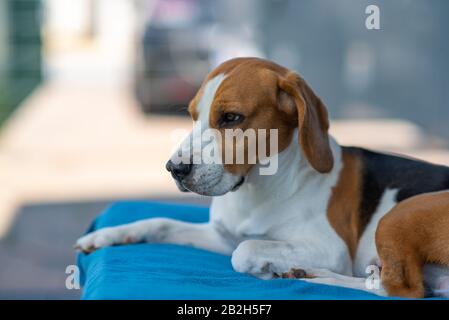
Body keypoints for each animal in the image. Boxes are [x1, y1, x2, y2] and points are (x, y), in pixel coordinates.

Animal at [76, 57, 448, 298]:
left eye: (231, 118)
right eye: (193, 116)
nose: (174, 169)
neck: (258, 190)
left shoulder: (330, 249)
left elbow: (245, 250)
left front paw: (266, 268)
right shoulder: (221, 236)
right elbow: (161, 222)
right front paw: (110, 234)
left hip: (397, 216)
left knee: (401, 290)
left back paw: (315, 276)